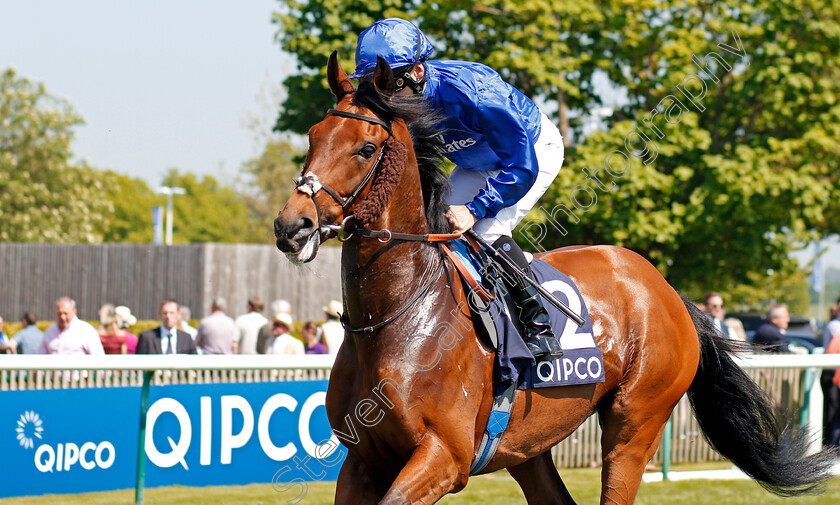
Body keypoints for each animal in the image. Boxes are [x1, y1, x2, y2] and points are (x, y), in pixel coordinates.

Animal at [274, 53, 832, 502]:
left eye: (366, 149)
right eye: (313, 137)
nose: (291, 225)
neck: (399, 317)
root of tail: (666, 289)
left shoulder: (444, 457)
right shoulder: (363, 461)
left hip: (636, 422)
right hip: (528, 445)